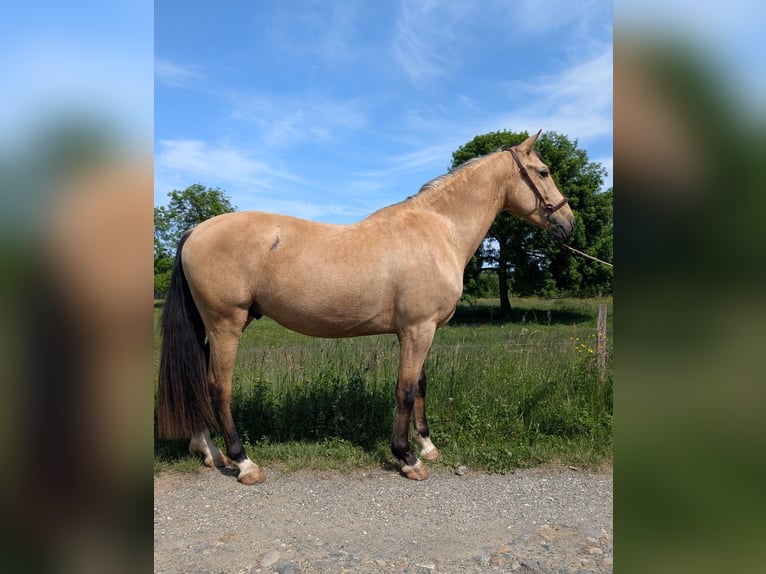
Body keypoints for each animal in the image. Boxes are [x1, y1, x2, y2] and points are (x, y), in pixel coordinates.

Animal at [157, 131, 575, 484]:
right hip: (226, 324)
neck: (436, 231)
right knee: (218, 387)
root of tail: (195, 231)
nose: (569, 224)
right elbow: (405, 390)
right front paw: (407, 458)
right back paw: (243, 462)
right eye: (543, 171)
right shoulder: (417, 329)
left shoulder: (421, 330)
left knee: (198, 380)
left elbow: (420, 384)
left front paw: (427, 445)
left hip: (215, 326)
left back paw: (208, 450)